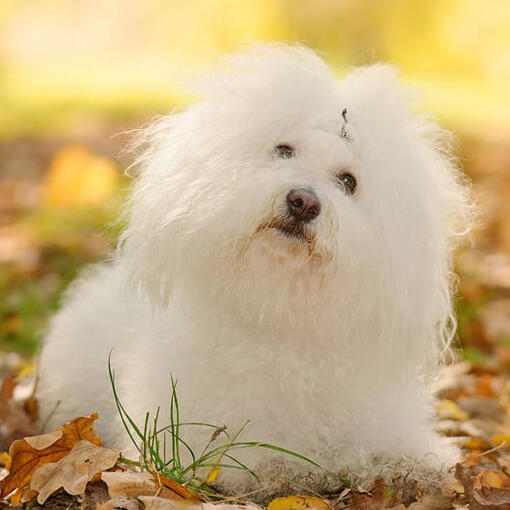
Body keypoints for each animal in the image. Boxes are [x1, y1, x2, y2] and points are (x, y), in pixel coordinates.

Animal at [37, 44, 472, 498]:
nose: (303, 201)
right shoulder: (195, 435)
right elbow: (257, 460)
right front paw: (297, 470)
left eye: (348, 181)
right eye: (283, 150)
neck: (276, 309)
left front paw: (417, 468)